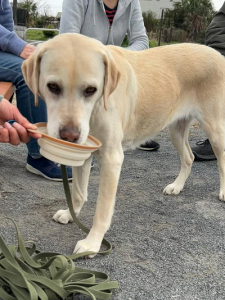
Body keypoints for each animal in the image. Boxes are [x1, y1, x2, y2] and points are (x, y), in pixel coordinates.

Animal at [22, 34, 225, 256]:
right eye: (53, 86)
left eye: (91, 90)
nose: (69, 136)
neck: (96, 108)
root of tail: (218, 55)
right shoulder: (83, 153)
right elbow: (78, 193)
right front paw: (70, 214)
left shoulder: (112, 159)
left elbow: (102, 209)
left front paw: (92, 242)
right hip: (176, 130)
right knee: (188, 157)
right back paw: (176, 186)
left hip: (215, 130)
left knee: (221, 161)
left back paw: (223, 192)